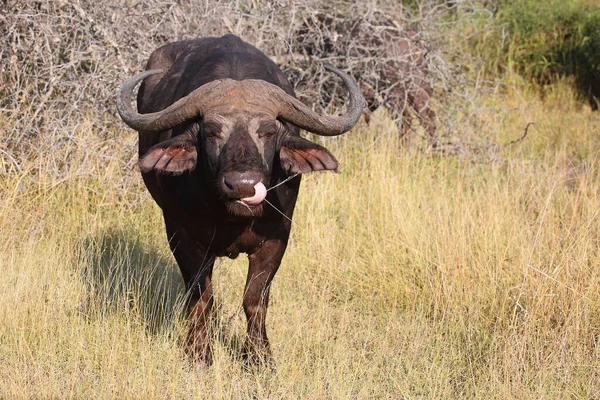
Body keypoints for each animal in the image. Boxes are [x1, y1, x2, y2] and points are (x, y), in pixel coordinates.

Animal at [115, 34, 364, 366]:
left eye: (268, 131)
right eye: (211, 132)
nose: (243, 185)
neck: (232, 216)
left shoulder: (277, 238)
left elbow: (254, 299)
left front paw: (259, 358)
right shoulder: (182, 236)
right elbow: (201, 298)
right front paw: (198, 353)